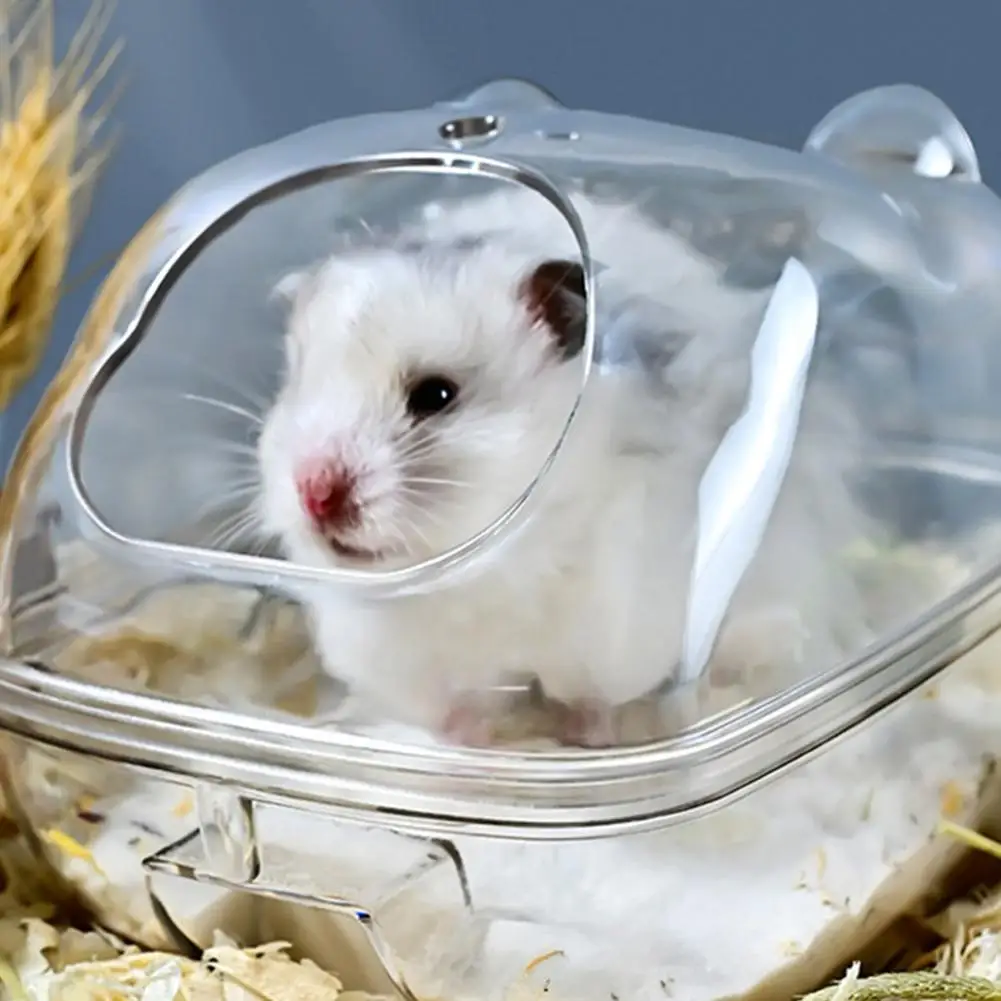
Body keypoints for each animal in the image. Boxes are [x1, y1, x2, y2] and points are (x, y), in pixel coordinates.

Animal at [256, 186, 879, 747]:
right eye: (296, 384)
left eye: (436, 395)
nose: (313, 493)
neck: (484, 571)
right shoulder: (412, 663)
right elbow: (453, 710)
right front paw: (470, 751)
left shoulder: (615, 629)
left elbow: (592, 697)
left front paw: (587, 739)